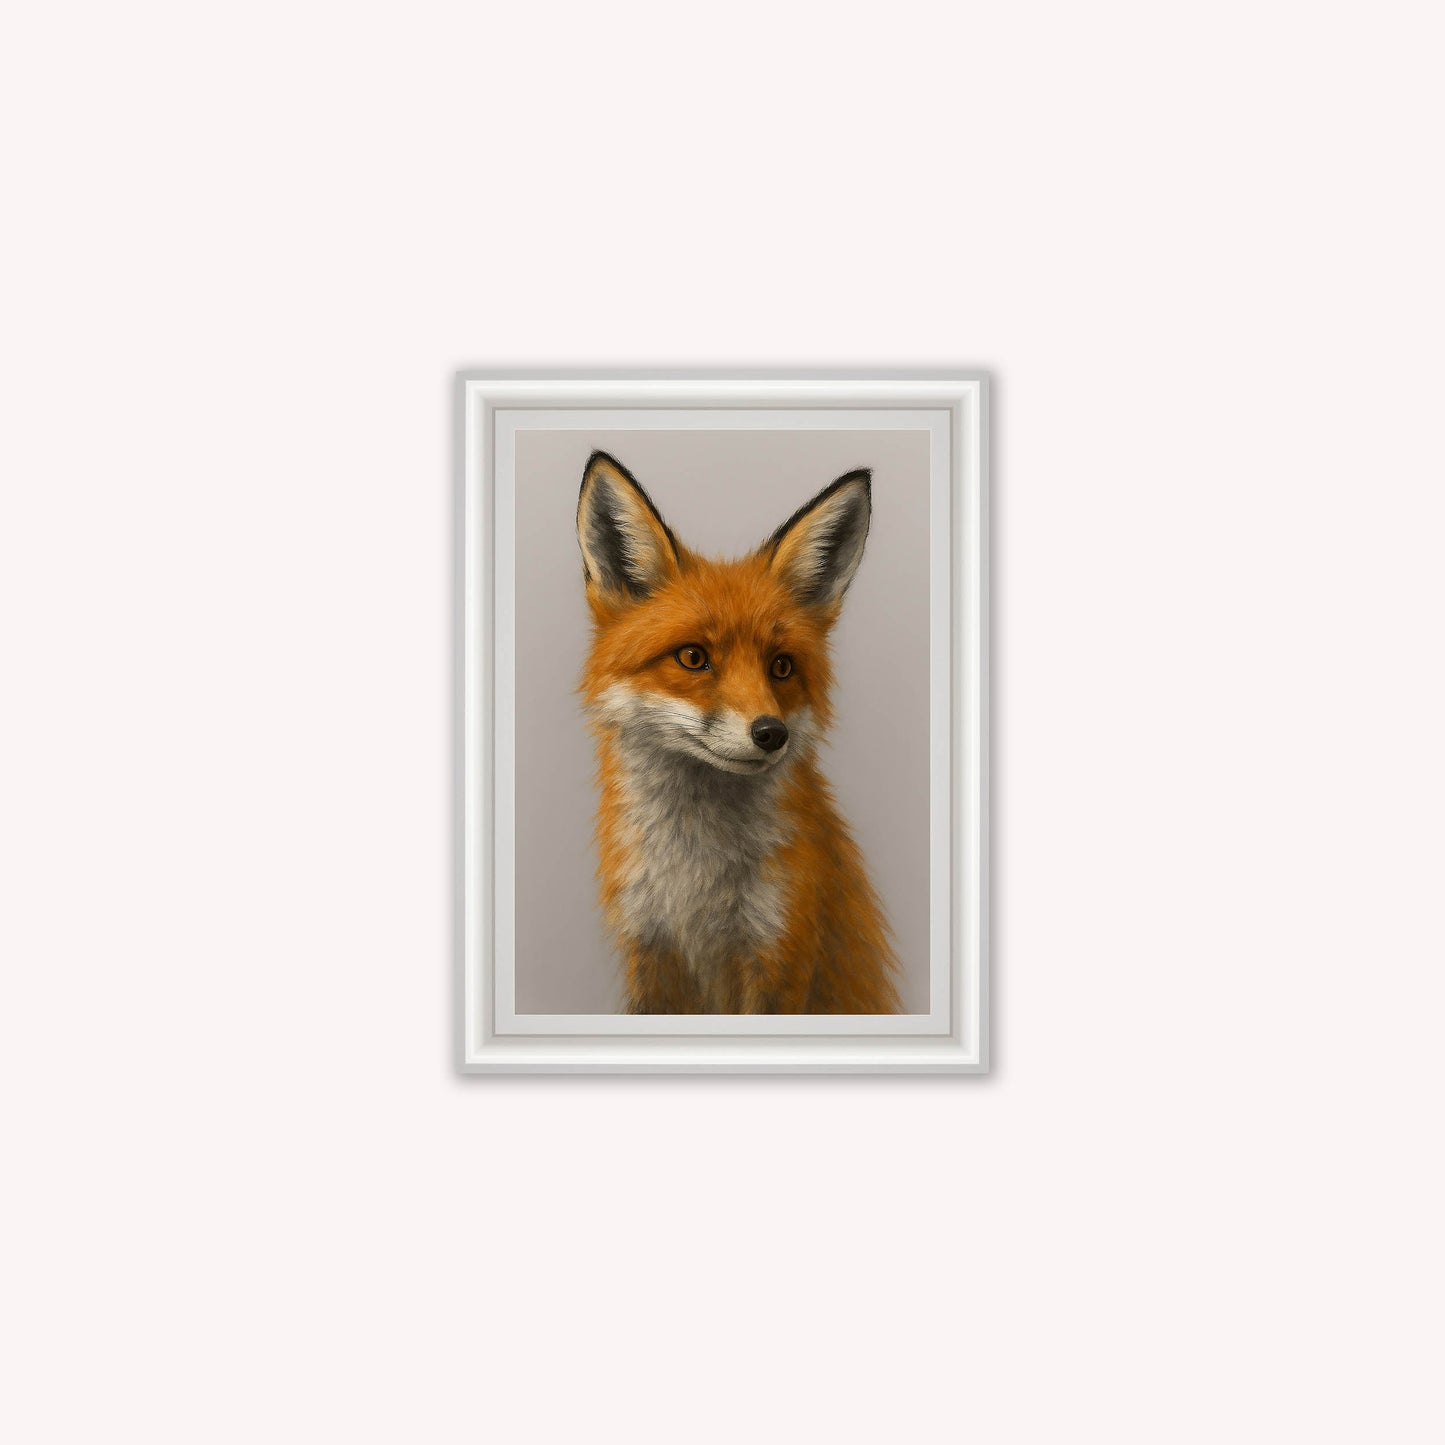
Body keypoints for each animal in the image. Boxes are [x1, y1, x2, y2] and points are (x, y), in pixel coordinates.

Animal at [575, 450, 901, 1014]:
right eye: (693, 657)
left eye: (782, 667)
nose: (772, 733)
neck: (694, 883)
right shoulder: (650, 951)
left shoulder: (779, 952)